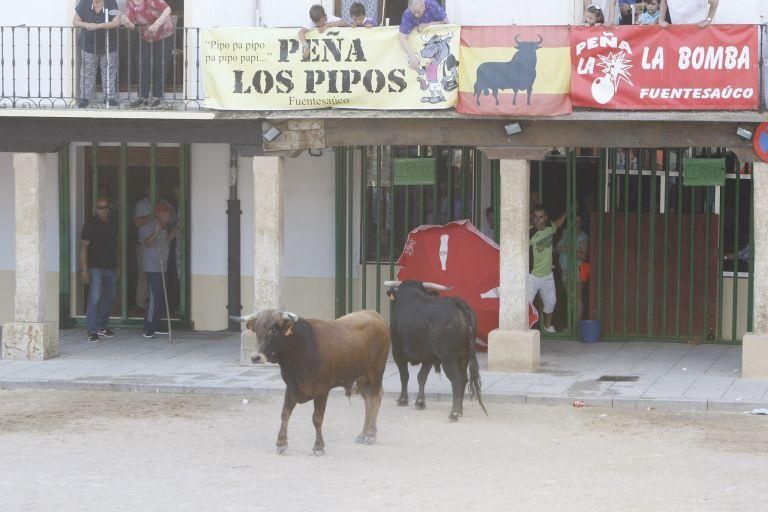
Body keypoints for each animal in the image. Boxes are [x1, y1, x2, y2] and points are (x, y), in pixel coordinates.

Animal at [234, 308, 390, 456]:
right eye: (256, 329)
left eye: (273, 329)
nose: (255, 357)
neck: (300, 350)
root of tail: (373, 314)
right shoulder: (291, 388)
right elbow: (285, 414)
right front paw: (281, 443)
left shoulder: (321, 391)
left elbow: (317, 419)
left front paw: (318, 447)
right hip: (362, 377)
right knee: (368, 401)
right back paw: (363, 434)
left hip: (376, 372)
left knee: (375, 398)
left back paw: (370, 434)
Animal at [388, 280, 488, 420]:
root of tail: (458, 303)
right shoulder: (429, 356)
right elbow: (421, 376)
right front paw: (420, 402)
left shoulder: (398, 352)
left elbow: (405, 376)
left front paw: (403, 400)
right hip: (463, 357)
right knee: (463, 379)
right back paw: (460, 410)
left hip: (448, 358)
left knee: (456, 380)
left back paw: (454, 413)